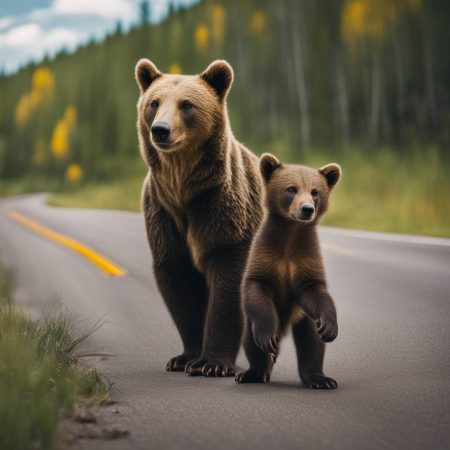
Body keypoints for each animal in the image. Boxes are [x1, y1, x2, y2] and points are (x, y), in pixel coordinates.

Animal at [134, 59, 262, 376]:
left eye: (187, 105)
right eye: (154, 103)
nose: (161, 130)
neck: (183, 191)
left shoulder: (223, 210)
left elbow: (228, 282)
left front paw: (212, 363)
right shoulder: (163, 214)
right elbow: (178, 282)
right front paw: (185, 357)